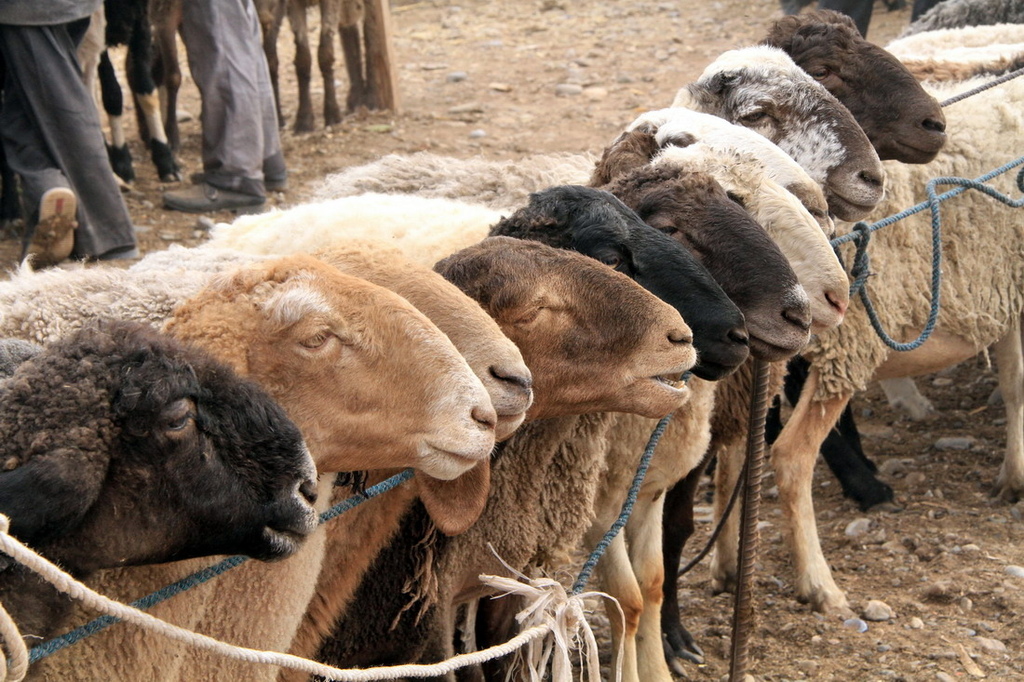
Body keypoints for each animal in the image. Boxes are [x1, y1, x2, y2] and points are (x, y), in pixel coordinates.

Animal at [720, 71, 1024, 614]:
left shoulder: (1001, 288)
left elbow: (1013, 383)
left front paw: (1012, 476)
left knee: (733, 453)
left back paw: (731, 567)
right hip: (846, 347)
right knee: (790, 457)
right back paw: (819, 583)